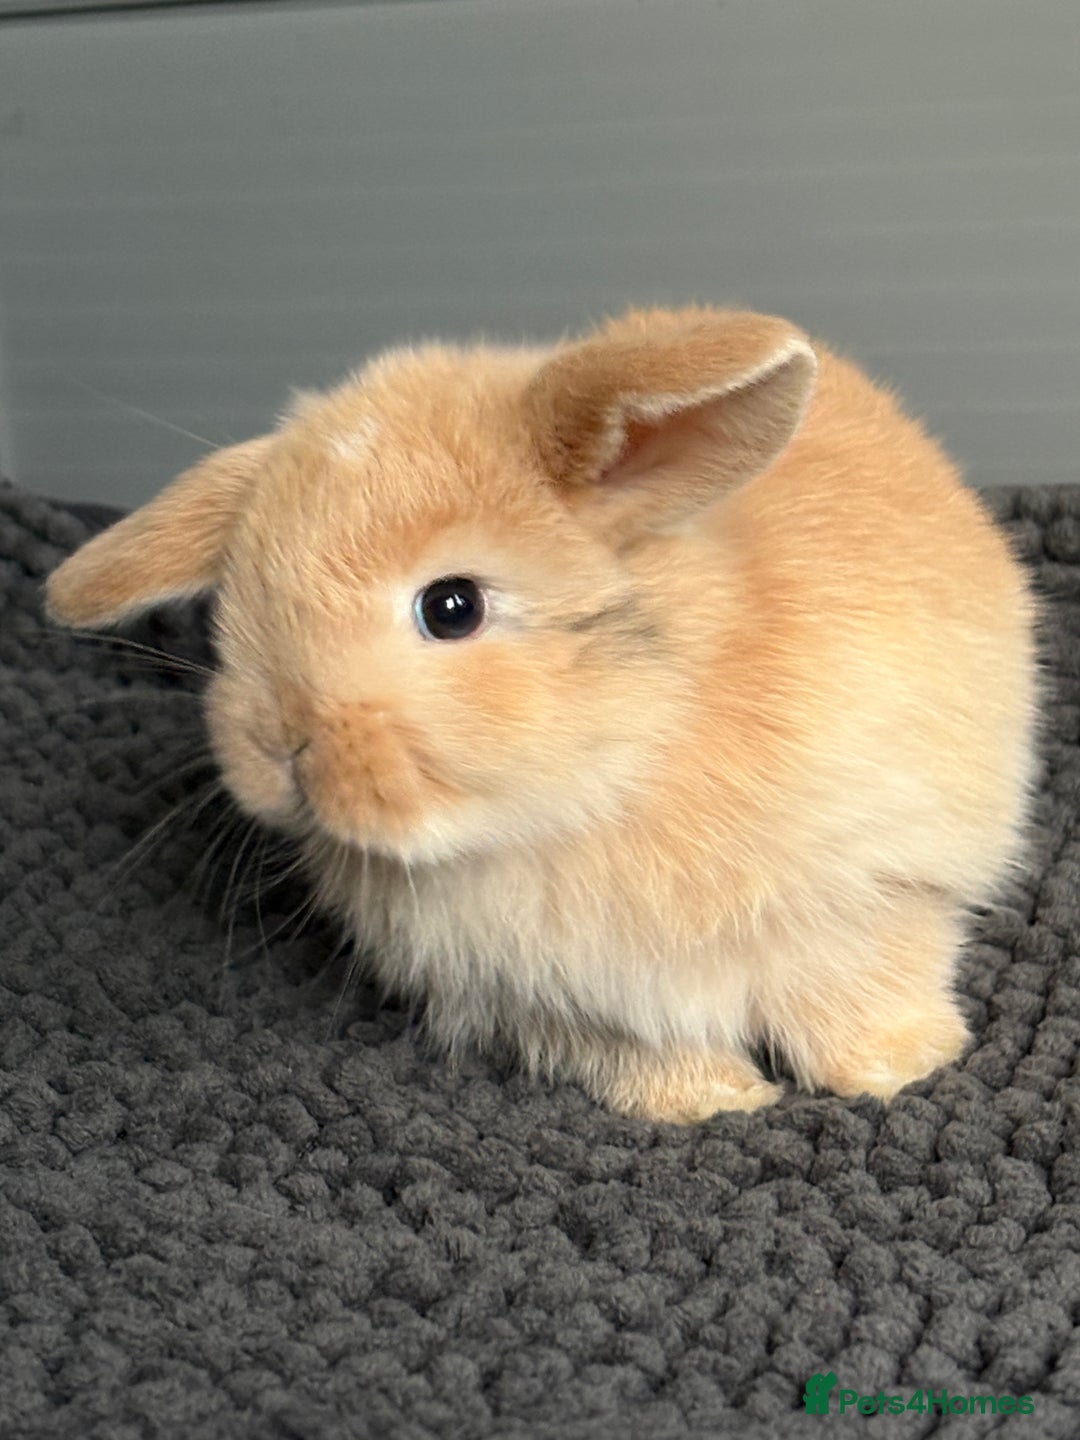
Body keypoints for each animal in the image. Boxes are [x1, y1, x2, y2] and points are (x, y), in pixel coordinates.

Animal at [46, 307, 1040, 1123]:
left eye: (452, 608)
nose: (275, 749)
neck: (608, 776)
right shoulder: (573, 1003)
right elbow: (648, 1050)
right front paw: (708, 1103)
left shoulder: (872, 894)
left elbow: (859, 990)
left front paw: (900, 1070)